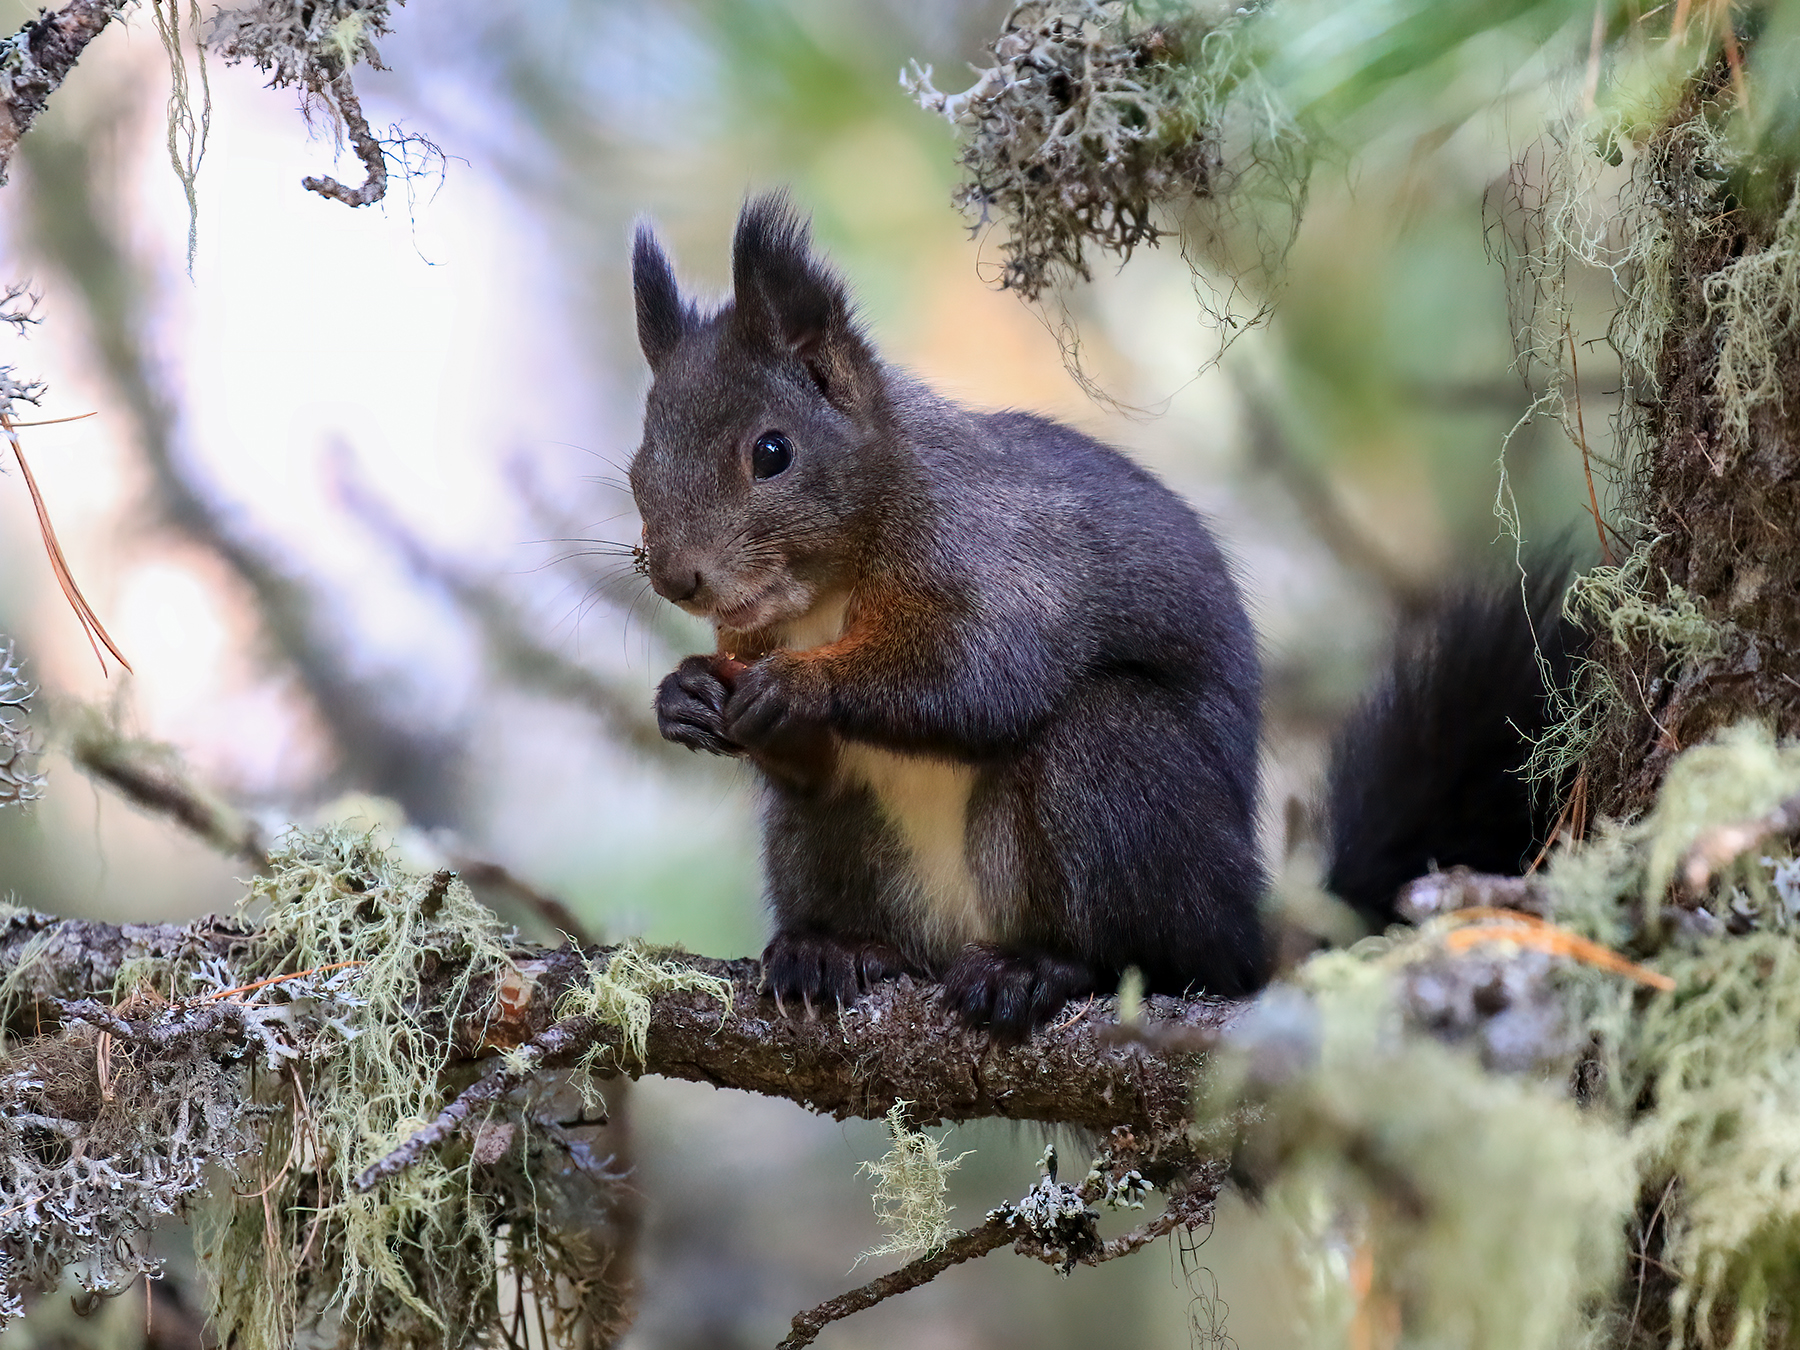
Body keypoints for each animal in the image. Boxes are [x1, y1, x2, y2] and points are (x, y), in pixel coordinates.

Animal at [628, 193, 1573, 1035]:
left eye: (772, 452)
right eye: (639, 469)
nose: (678, 579)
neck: (822, 597)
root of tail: (1251, 941)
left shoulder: (997, 555)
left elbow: (979, 678)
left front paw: (800, 687)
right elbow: (812, 750)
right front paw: (684, 697)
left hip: (1121, 777)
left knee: (1148, 947)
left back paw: (1039, 968)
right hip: (825, 842)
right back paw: (834, 948)